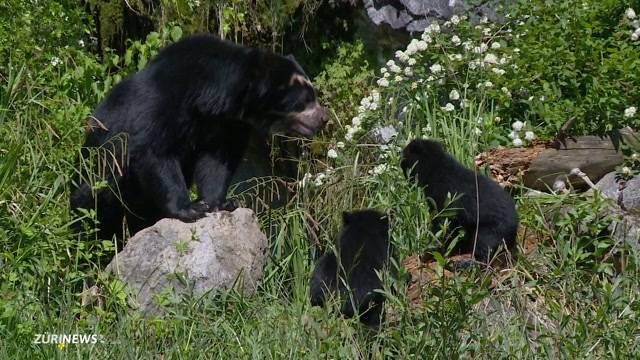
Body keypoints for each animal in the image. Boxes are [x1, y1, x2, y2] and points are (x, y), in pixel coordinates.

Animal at [71, 34, 324, 239]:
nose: (324, 118)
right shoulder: (165, 100)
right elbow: (154, 151)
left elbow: (218, 160)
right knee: (94, 207)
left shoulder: (229, 124)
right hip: (101, 169)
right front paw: (190, 208)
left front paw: (222, 203)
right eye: (304, 100)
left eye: (312, 94)